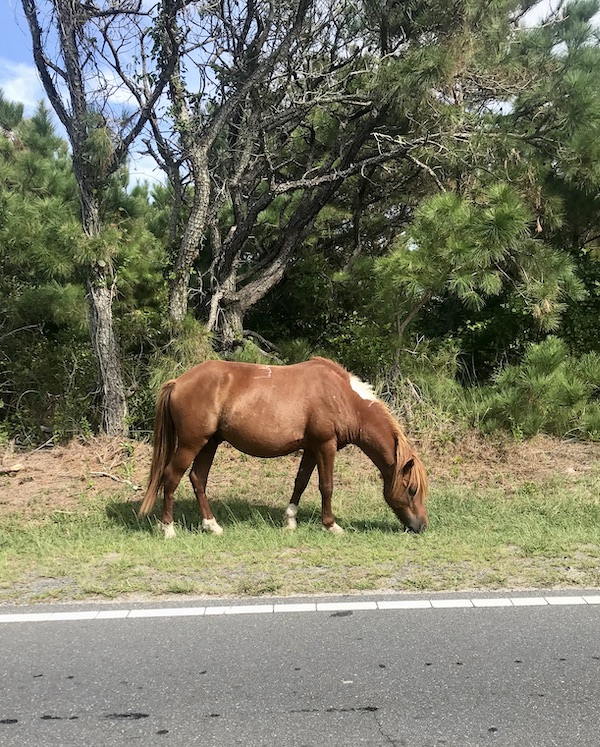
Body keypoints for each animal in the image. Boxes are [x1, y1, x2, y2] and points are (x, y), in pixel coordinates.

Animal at [139, 357, 428, 537]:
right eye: (412, 489)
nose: (422, 526)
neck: (343, 397)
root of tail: (178, 382)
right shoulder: (325, 445)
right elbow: (326, 486)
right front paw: (331, 525)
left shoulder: (311, 447)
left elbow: (300, 482)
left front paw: (289, 520)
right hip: (191, 443)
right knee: (171, 477)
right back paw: (168, 529)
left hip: (209, 443)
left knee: (198, 479)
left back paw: (212, 526)